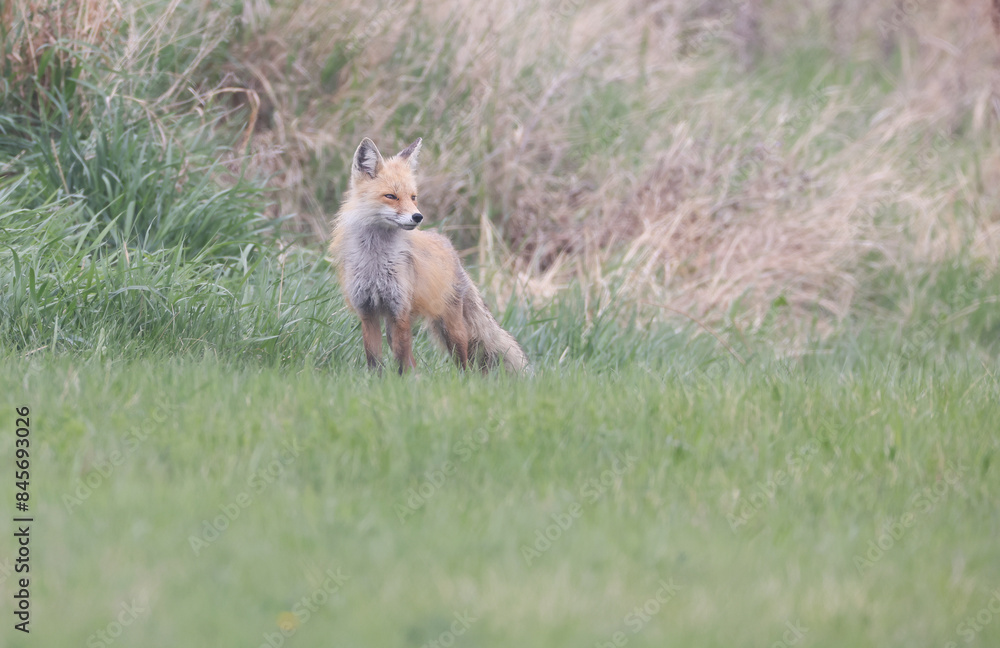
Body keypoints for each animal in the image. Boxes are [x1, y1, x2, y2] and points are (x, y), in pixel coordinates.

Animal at [329, 136, 529, 375]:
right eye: (391, 196)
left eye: (413, 197)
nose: (418, 217)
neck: (375, 259)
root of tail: (450, 249)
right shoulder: (367, 311)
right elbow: (375, 359)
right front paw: (377, 381)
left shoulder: (400, 311)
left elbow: (402, 358)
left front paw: (404, 381)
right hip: (393, 326)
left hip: (451, 328)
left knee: (464, 361)